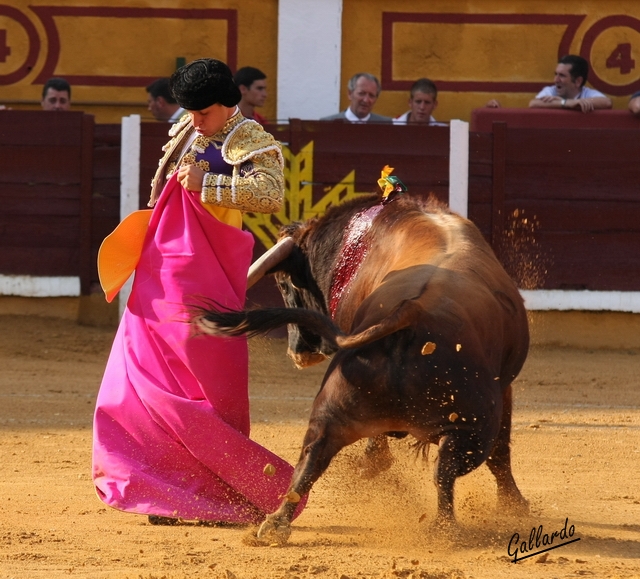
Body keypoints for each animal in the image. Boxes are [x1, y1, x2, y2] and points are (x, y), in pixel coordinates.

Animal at [199, 193, 528, 540]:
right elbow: (501, 454)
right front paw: (514, 506)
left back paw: (276, 524)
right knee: (448, 469)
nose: (297, 353)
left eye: (285, 285)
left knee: (312, 456)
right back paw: (444, 529)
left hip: (332, 408)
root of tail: (410, 311)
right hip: (473, 429)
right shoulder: (505, 390)